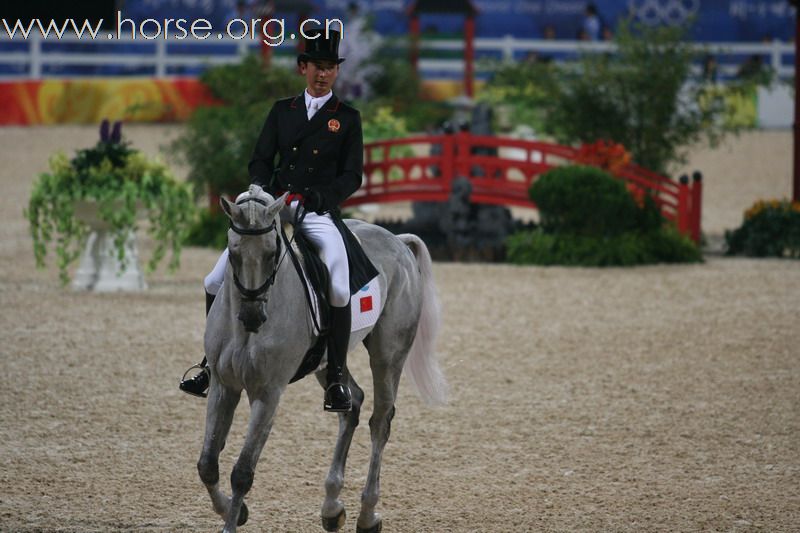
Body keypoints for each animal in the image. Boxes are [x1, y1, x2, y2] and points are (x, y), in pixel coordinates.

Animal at [194, 186, 444, 532]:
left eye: (272, 253)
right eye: (233, 253)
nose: (252, 317)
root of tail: (397, 240)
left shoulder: (268, 394)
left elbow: (242, 472)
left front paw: (232, 520)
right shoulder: (223, 385)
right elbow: (208, 463)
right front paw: (236, 511)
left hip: (388, 356)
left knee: (380, 421)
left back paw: (367, 514)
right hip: (328, 364)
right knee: (352, 402)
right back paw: (332, 506)